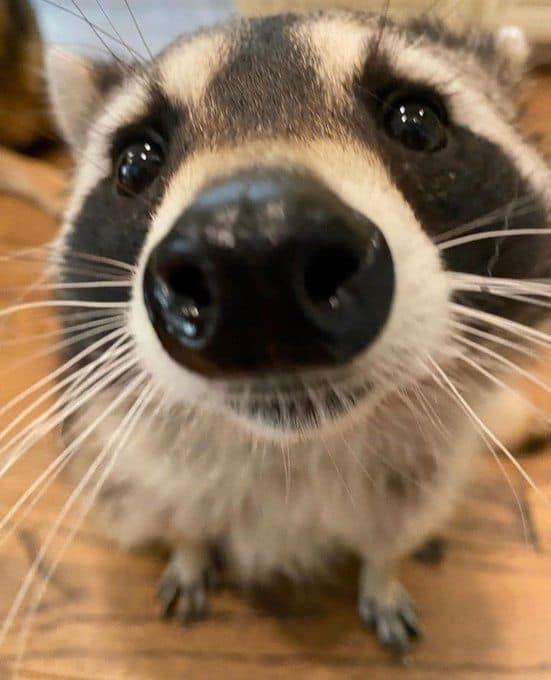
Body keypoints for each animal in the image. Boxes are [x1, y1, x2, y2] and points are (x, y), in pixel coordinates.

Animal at [36, 11, 550, 652]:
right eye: (137, 161)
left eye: (418, 121)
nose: (255, 257)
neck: (292, 452)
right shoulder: (134, 453)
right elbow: (175, 506)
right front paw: (187, 548)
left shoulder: (424, 471)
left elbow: (395, 527)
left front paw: (383, 571)